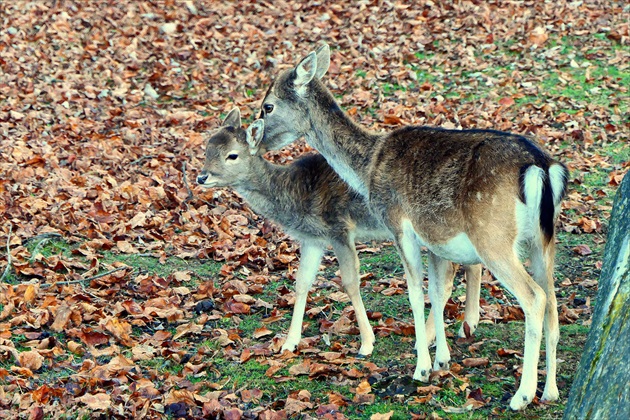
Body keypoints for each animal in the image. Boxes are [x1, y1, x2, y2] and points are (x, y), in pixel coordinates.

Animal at [260, 44, 572, 408]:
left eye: (268, 106)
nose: (258, 142)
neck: (368, 167)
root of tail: (541, 167)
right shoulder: (434, 238)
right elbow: (436, 292)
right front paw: (441, 360)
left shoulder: (399, 223)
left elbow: (414, 293)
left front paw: (421, 368)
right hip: (544, 239)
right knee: (553, 300)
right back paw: (550, 390)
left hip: (493, 236)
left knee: (535, 298)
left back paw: (523, 394)